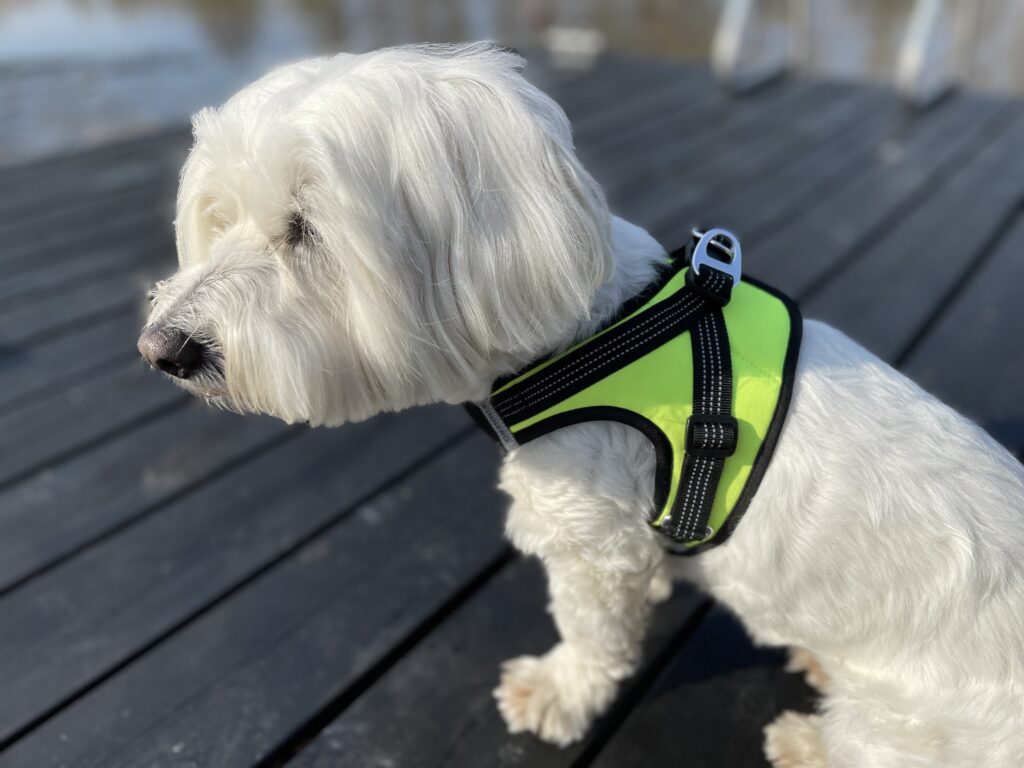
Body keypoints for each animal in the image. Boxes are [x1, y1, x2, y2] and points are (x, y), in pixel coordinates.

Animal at [138, 43, 1024, 767]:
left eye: (305, 230)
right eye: (217, 218)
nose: (163, 350)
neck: (590, 333)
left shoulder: (589, 535)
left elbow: (592, 631)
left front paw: (559, 691)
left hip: (909, 726)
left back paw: (810, 741)